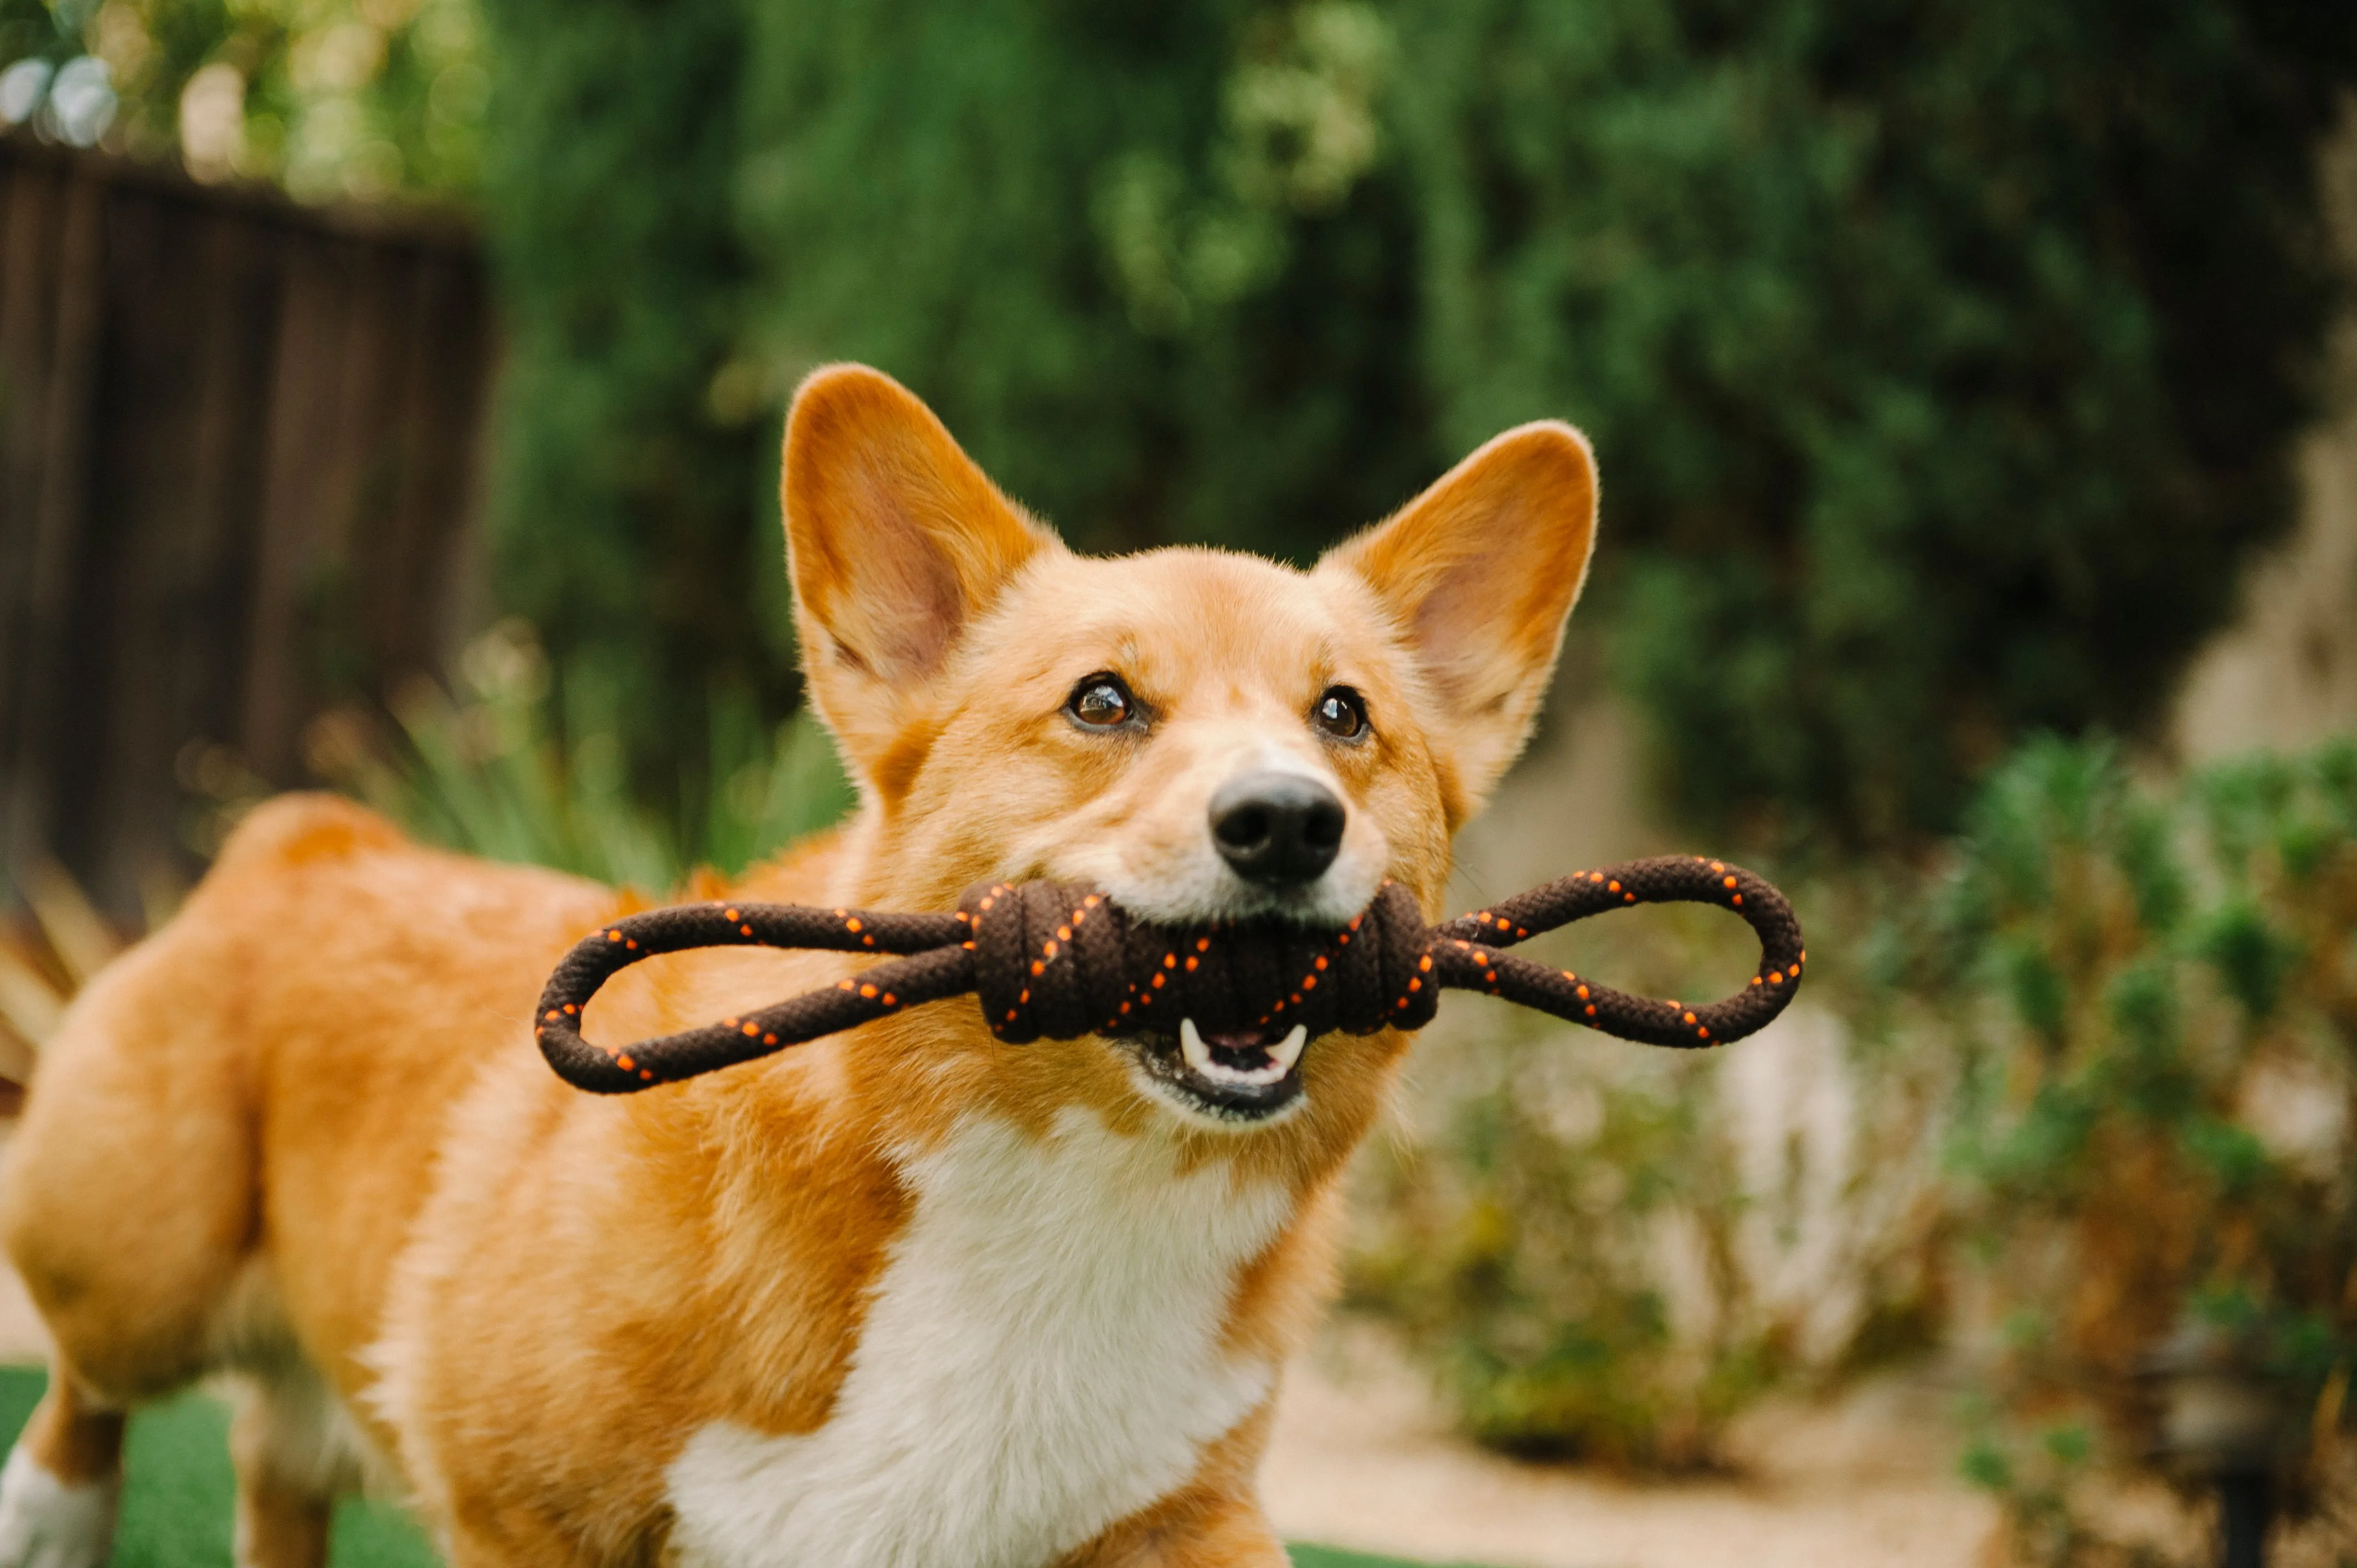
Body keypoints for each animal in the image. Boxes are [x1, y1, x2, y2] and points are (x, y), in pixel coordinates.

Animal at [0, 368, 1603, 1565]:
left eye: (1344, 717)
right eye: (1101, 702)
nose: (1287, 822)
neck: (1060, 1196)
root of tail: (307, 837)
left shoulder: (1186, 1519)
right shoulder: (525, 1512)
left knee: (270, 1453)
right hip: (142, 1262)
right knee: (92, 1383)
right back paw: (54, 1519)